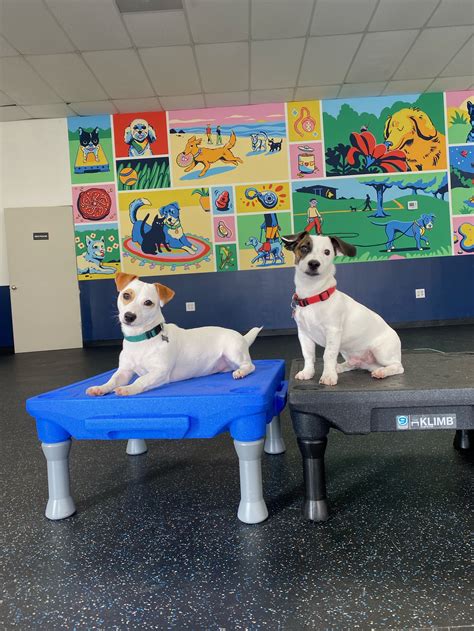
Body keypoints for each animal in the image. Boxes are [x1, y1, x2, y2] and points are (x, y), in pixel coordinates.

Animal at [86, 273, 262, 396]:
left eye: (148, 303)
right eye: (126, 295)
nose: (129, 316)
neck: (141, 338)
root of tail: (242, 337)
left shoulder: (160, 372)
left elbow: (141, 379)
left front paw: (129, 389)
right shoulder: (124, 371)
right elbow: (112, 379)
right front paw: (100, 388)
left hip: (234, 352)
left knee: (250, 365)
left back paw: (241, 372)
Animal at [282, 232, 403, 385]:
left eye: (327, 252)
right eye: (304, 248)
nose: (314, 263)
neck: (314, 295)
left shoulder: (333, 331)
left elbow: (328, 355)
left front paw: (328, 376)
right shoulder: (304, 334)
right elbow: (308, 355)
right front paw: (308, 372)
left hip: (381, 352)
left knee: (398, 367)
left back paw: (383, 371)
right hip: (349, 353)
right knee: (355, 364)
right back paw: (339, 367)